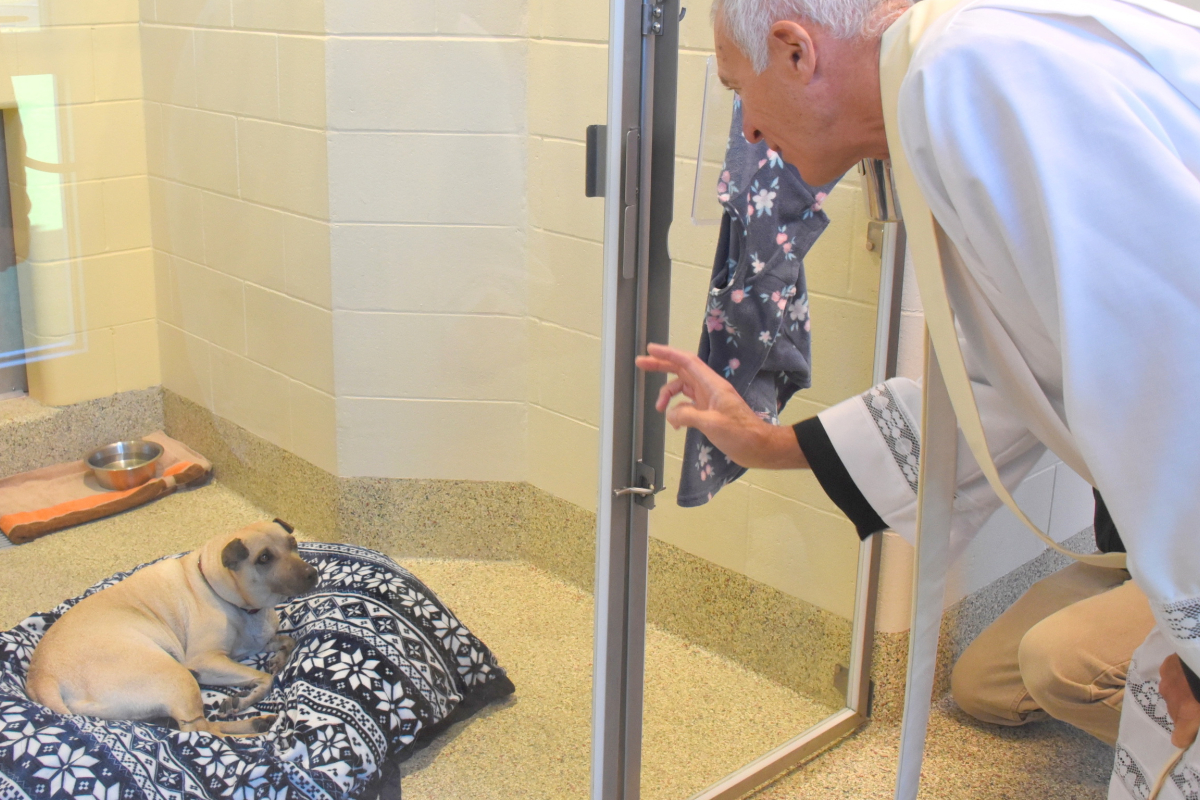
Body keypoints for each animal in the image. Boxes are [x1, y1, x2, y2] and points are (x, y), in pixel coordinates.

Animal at [26, 520, 321, 738]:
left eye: (293, 544)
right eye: (264, 558)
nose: (312, 574)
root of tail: (43, 678)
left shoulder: (255, 644)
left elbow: (287, 643)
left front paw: (277, 661)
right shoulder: (206, 662)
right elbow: (264, 678)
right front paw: (247, 698)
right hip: (179, 675)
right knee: (201, 730)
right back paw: (251, 731)